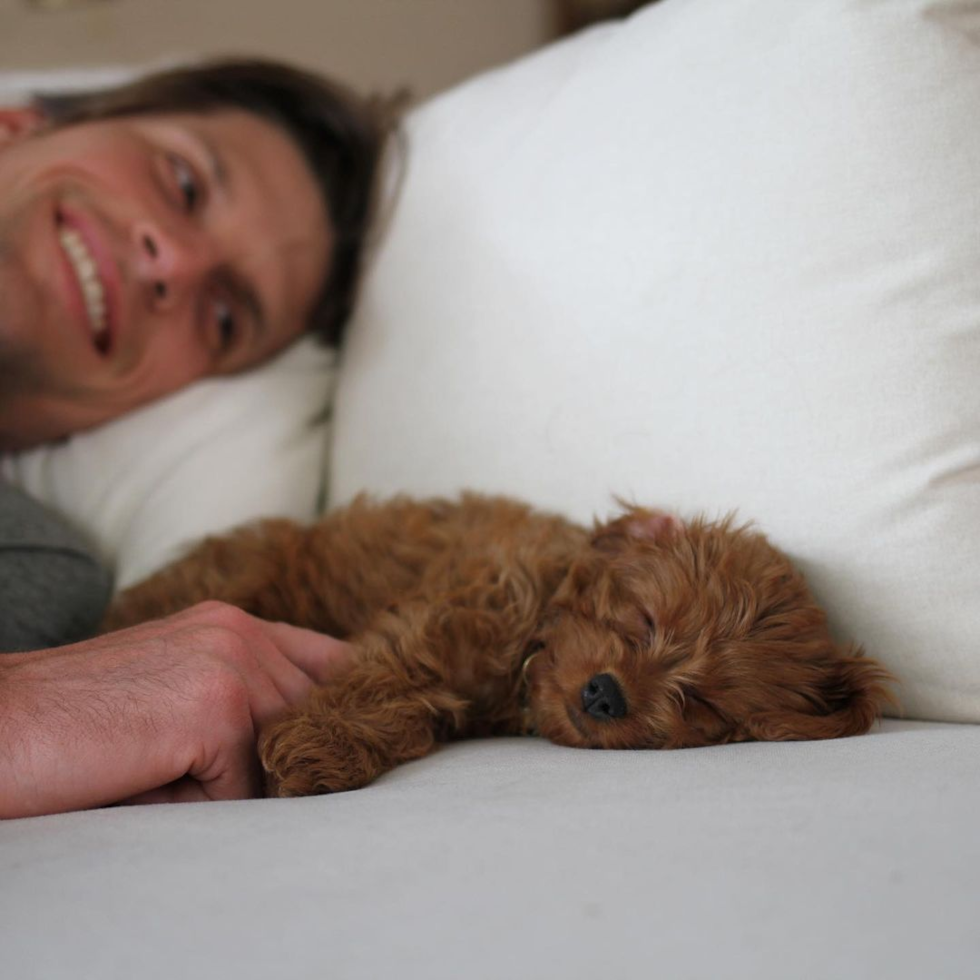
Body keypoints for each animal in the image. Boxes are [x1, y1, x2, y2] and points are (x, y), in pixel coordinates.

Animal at [103, 494, 892, 800]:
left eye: (700, 702)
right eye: (641, 621)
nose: (603, 694)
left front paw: (318, 748)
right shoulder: (446, 609)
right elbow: (390, 669)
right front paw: (317, 745)